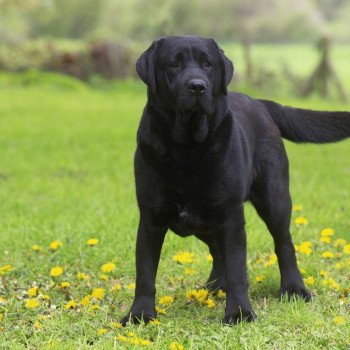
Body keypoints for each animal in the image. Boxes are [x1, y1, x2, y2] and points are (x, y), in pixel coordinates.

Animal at [121, 35, 348, 326]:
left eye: (208, 64)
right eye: (174, 64)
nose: (197, 87)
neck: (187, 148)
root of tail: (261, 103)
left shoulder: (230, 216)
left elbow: (238, 266)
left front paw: (239, 313)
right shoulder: (151, 217)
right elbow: (145, 272)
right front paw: (139, 314)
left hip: (274, 198)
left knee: (284, 244)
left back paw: (294, 289)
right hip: (204, 221)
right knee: (217, 251)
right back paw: (215, 287)